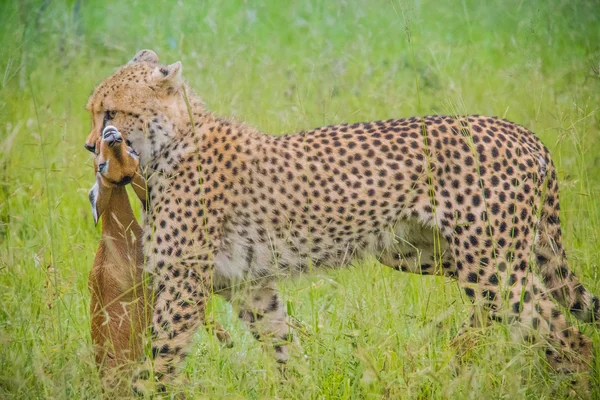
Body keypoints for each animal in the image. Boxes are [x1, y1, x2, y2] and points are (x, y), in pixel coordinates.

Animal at [85, 50, 600, 394]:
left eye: (111, 112)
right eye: (92, 111)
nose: (92, 146)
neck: (171, 142)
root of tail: (524, 133)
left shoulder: (183, 283)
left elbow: (163, 356)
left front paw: (144, 390)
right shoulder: (248, 285)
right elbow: (282, 344)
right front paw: (302, 385)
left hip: (491, 266)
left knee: (566, 336)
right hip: (430, 254)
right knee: (526, 315)